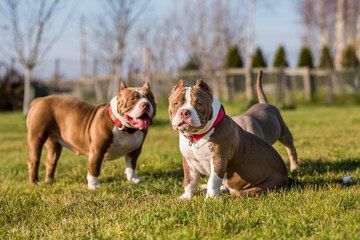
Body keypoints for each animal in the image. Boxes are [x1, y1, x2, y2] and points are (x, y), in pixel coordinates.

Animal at [25, 81, 155, 188]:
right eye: (132, 99)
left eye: (150, 98)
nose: (145, 104)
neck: (125, 128)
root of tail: (38, 100)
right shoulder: (97, 150)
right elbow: (94, 167)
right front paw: (93, 186)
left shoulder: (135, 150)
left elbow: (131, 165)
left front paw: (133, 179)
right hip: (36, 138)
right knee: (33, 161)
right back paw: (34, 183)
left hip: (54, 144)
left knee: (51, 161)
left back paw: (49, 181)